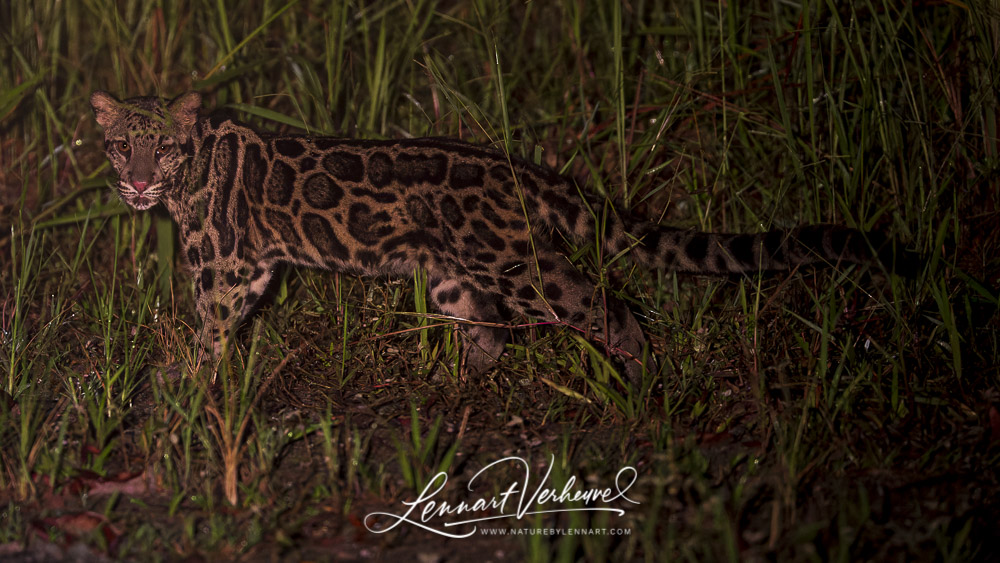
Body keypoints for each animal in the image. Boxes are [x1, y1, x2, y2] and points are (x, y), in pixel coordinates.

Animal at [88, 91, 900, 378]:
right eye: (120, 146)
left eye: (162, 148)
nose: (137, 184)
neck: (192, 175)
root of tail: (530, 170)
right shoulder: (251, 268)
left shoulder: (225, 268)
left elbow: (209, 330)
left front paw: (191, 386)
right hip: (452, 271)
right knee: (488, 328)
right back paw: (464, 382)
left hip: (520, 267)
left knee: (602, 303)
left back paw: (640, 376)